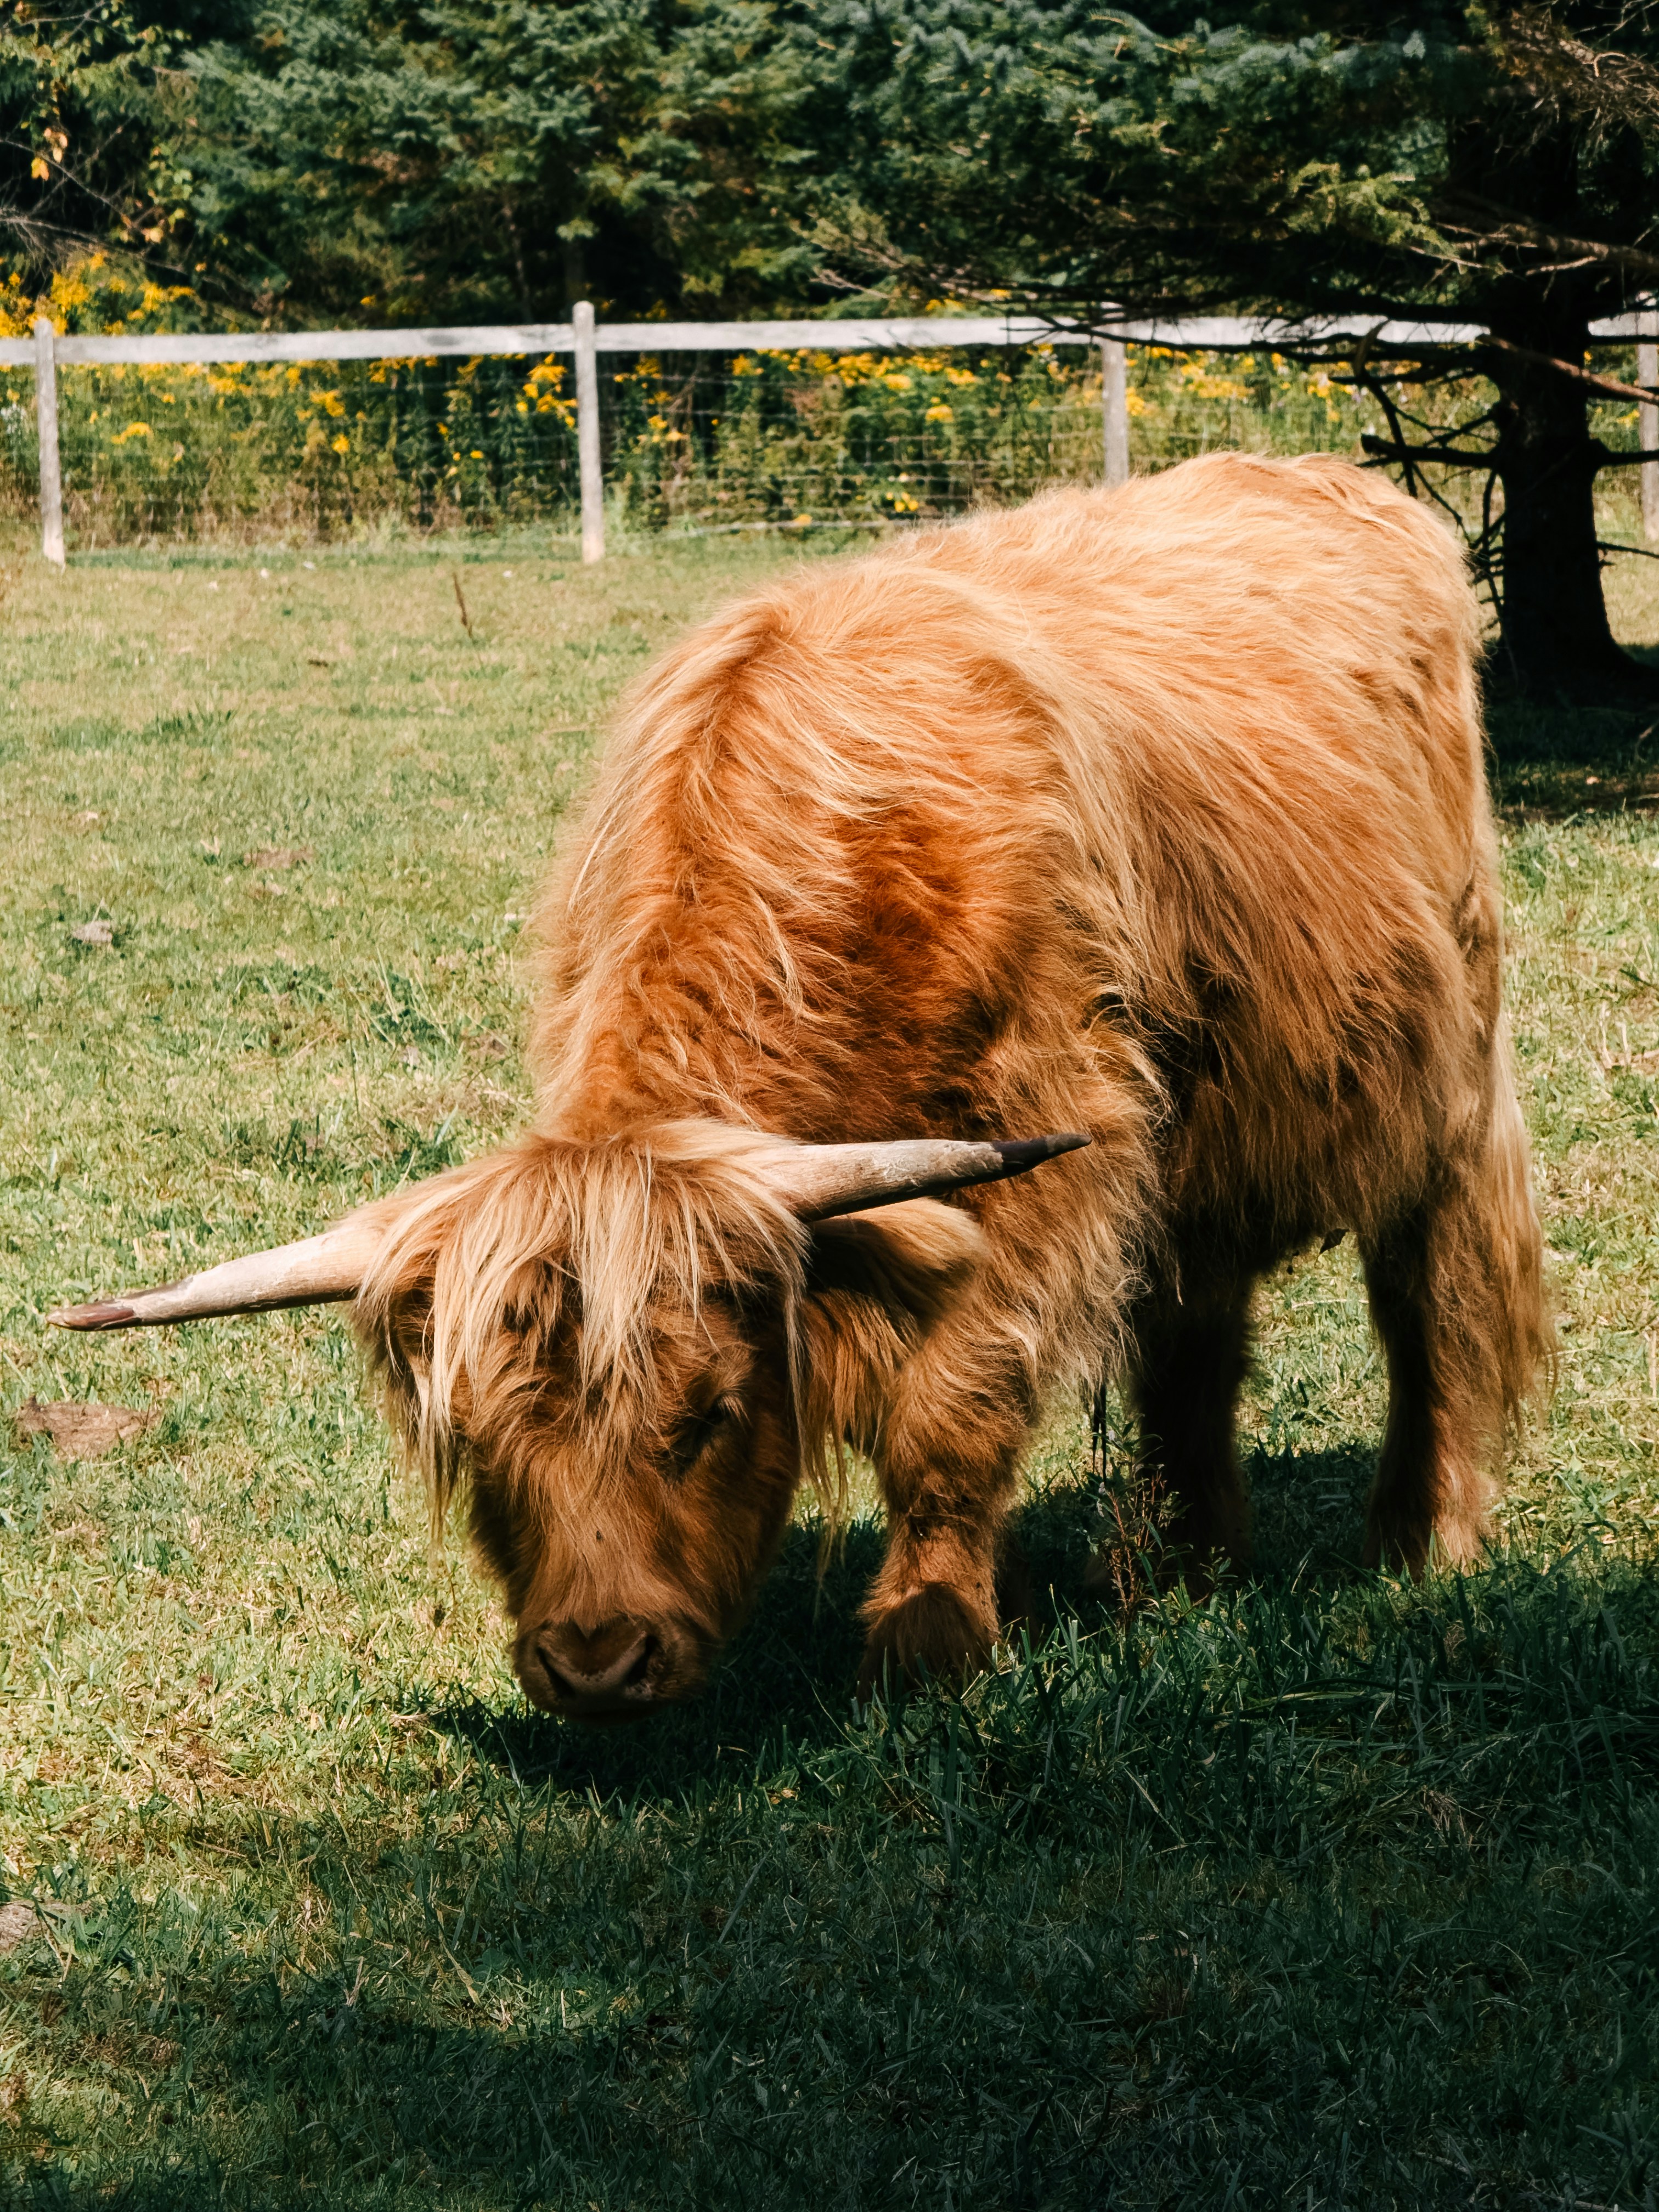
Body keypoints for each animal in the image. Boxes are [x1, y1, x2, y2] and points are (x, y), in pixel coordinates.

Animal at [50, 452, 1551, 1721]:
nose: (596, 1664)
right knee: (1198, 1323)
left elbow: (953, 1413)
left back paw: (1427, 1536)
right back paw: (1191, 1561)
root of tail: (1330, 477)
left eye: (707, 1418)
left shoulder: (1042, 1155)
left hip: (1447, 1066)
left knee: (1432, 1292)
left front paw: (929, 1637)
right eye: (477, 1439)